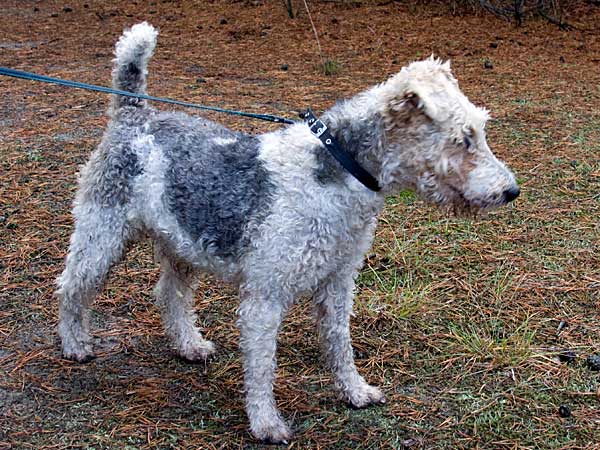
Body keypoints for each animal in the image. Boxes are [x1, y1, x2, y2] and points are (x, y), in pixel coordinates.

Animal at [56, 22, 519, 443]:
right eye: (464, 138)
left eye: (478, 130)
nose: (511, 191)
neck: (339, 170)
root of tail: (135, 115)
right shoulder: (265, 296)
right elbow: (262, 368)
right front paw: (266, 424)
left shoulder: (338, 281)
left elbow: (339, 345)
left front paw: (355, 392)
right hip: (101, 234)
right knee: (71, 286)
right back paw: (75, 345)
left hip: (181, 244)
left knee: (169, 295)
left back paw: (190, 345)